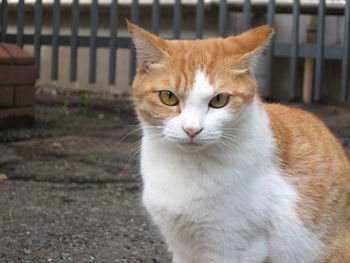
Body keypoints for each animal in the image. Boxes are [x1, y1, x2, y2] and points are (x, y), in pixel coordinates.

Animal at [126, 21, 350, 263]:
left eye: (219, 100)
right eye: (168, 97)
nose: (192, 129)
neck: (187, 165)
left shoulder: (234, 247)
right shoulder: (181, 247)